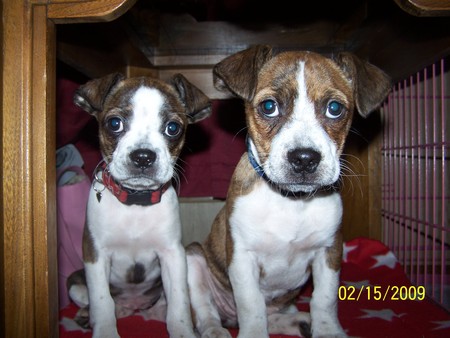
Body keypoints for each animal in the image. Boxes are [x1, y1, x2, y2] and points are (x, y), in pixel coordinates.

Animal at [68, 73, 211, 338]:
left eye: (172, 128)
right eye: (114, 123)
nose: (143, 156)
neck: (135, 204)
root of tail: (133, 307)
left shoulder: (173, 255)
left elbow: (179, 303)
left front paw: (182, 331)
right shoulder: (95, 255)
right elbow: (102, 302)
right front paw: (105, 331)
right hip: (75, 281)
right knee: (94, 300)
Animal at [185, 45, 390, 338]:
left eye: (335, 109)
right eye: (269, 107)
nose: (304, 158)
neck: (292, 202)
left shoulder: (329, 251)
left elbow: (324, 299)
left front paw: (327, 330)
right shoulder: (242, 257)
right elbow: (251, 305)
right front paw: (254, 333)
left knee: (275, 316)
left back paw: (298, 322)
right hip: (193, 258)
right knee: (206, 311)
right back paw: (215, 330)